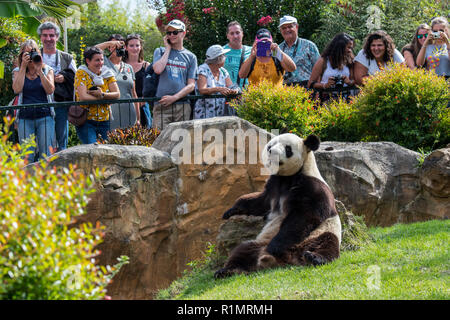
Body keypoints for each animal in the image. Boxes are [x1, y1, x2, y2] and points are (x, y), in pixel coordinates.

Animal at [214, 132, 342, 278]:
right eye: (271, 145)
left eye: (288, 149)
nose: (271, 152)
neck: (286, 178)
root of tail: (285, 260)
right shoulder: (273, 185)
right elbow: (260, 203)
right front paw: (230, 211)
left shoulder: (312, 187)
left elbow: (305, 216)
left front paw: (274, 246)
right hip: (259, 243)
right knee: (242, 251)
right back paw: (227, 270)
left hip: (320, 233)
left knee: (327, 244)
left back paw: (314, 258)